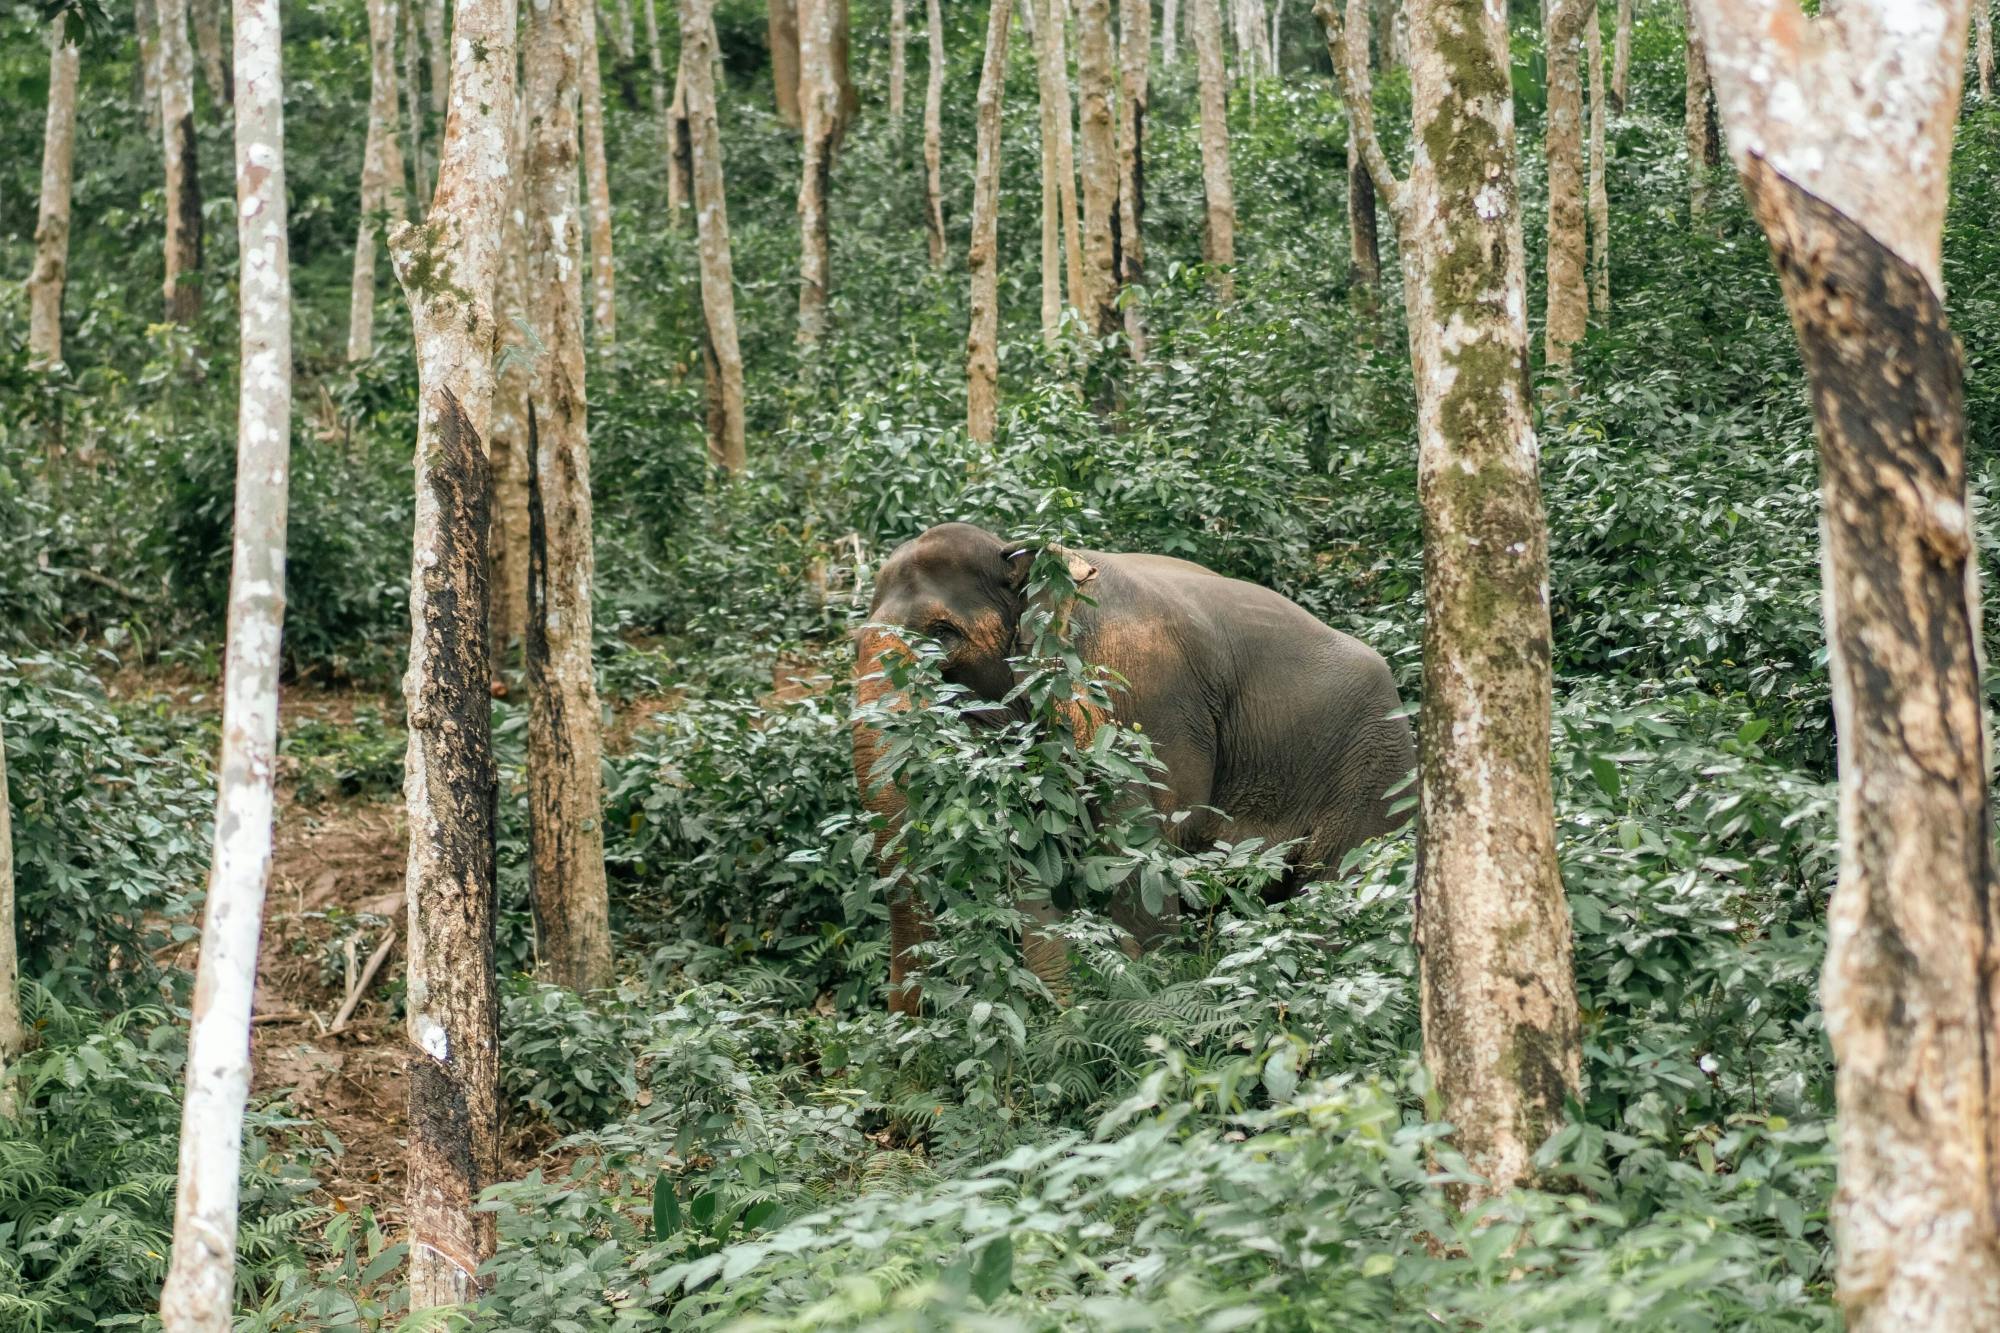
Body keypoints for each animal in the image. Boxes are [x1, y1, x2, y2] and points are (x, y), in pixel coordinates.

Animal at [852, 521, 1416, 1014]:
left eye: (943, 633)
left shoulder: (1139, 691)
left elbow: (1143, 843)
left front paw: (1141, 1011)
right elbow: (1037, 850)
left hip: (1375, 772)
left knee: (1336, 895)